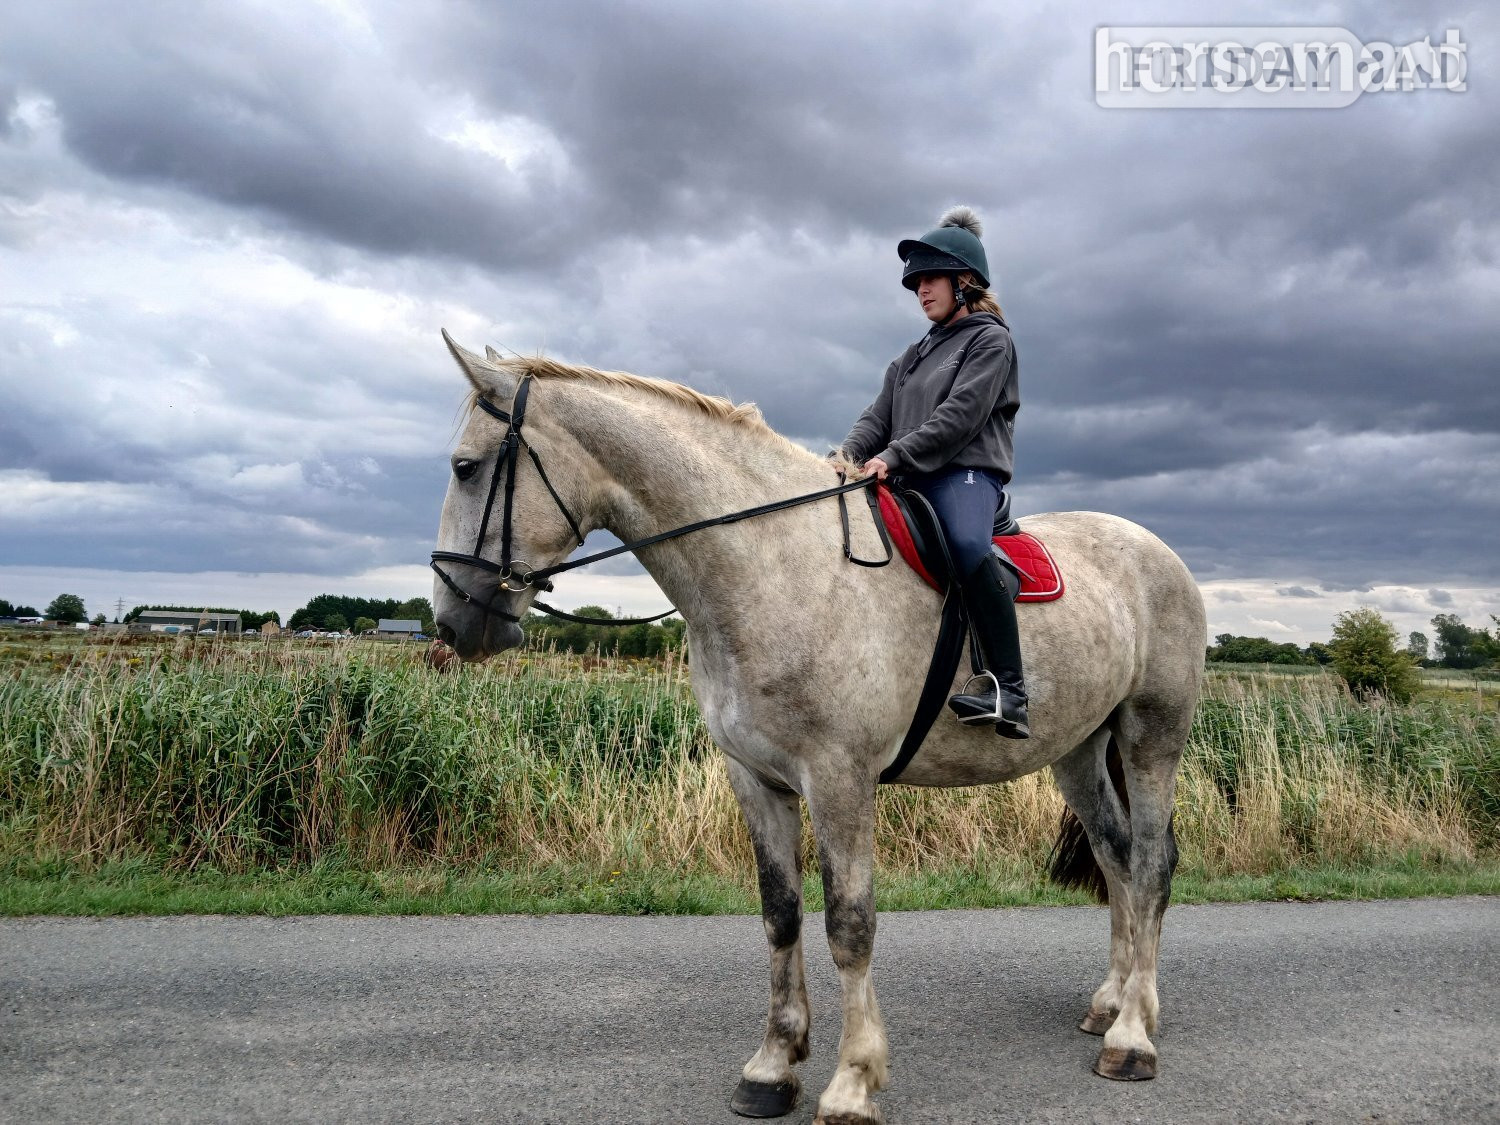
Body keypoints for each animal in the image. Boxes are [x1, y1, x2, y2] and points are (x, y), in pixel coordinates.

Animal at [431, 333, 1206, 1124]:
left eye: (465, 467)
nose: (452, 622)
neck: (773, 562)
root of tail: (1158, 551)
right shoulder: (756, 777)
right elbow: (781, 914)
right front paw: (772, 1067)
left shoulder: (840, 779)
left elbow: (849, 924)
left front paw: (852, 1081)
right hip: (1078, 752)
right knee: (1116, 856)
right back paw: (1110, 1002)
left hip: (1152, 739)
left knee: (1151, 863)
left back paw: (1132, 1036)